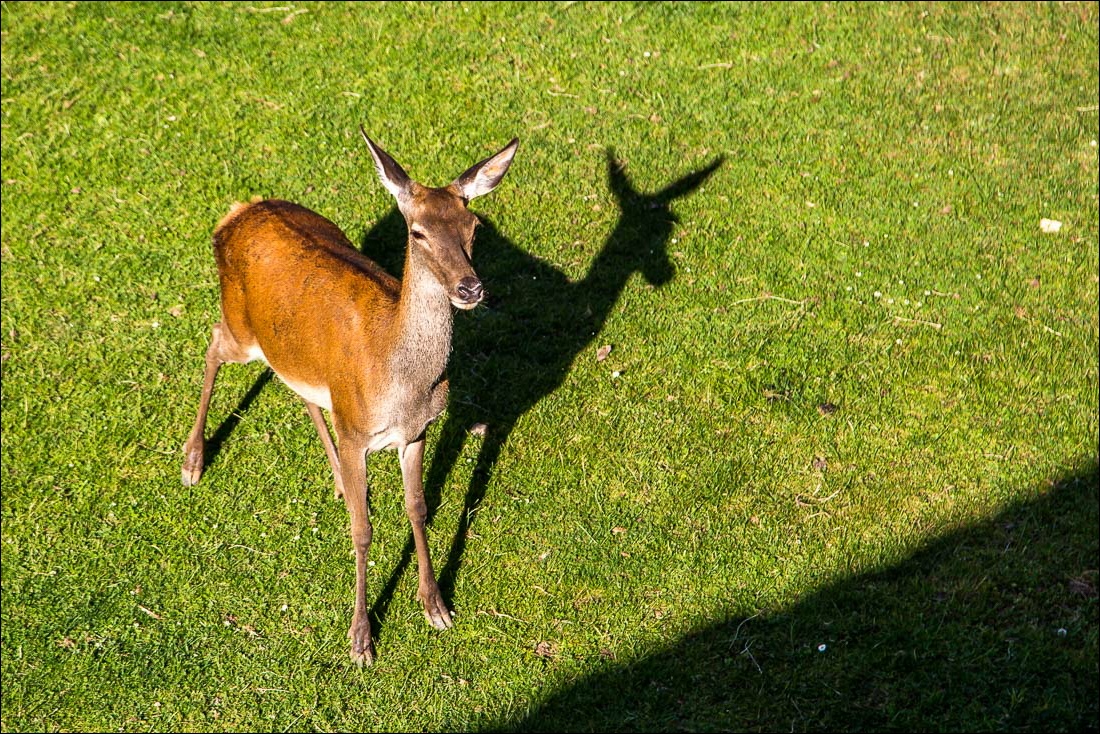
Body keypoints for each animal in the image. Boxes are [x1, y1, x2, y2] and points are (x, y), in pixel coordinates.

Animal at [180, 127, 519, 665]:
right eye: (417, 232)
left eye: (473, 226)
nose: (470, 288)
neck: (402, 382)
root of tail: (236, 212)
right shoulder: (359, 431)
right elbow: (363, 529)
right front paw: (361, 636)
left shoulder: (415, 431)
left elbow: (418, 508)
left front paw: (435, 605)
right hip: (240, 327)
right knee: (213, 342)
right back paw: (193, 460)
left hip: (295, 353)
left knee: (299, 388)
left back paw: (339, 478)